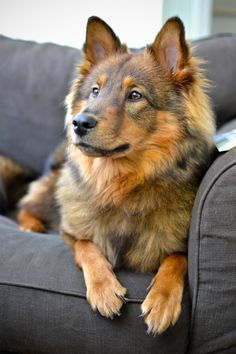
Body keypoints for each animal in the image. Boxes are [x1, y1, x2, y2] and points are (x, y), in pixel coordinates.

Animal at [17, 15, 215, 334]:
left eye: (135, 95)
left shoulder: (178, 245)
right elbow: (86, 245)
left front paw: (162, 301)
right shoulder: (71, 231)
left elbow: (177, 258)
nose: (79, 123)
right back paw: (30, 225)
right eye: (95, 91)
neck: (120, 183)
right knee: (27, 205)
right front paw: (104, 289)